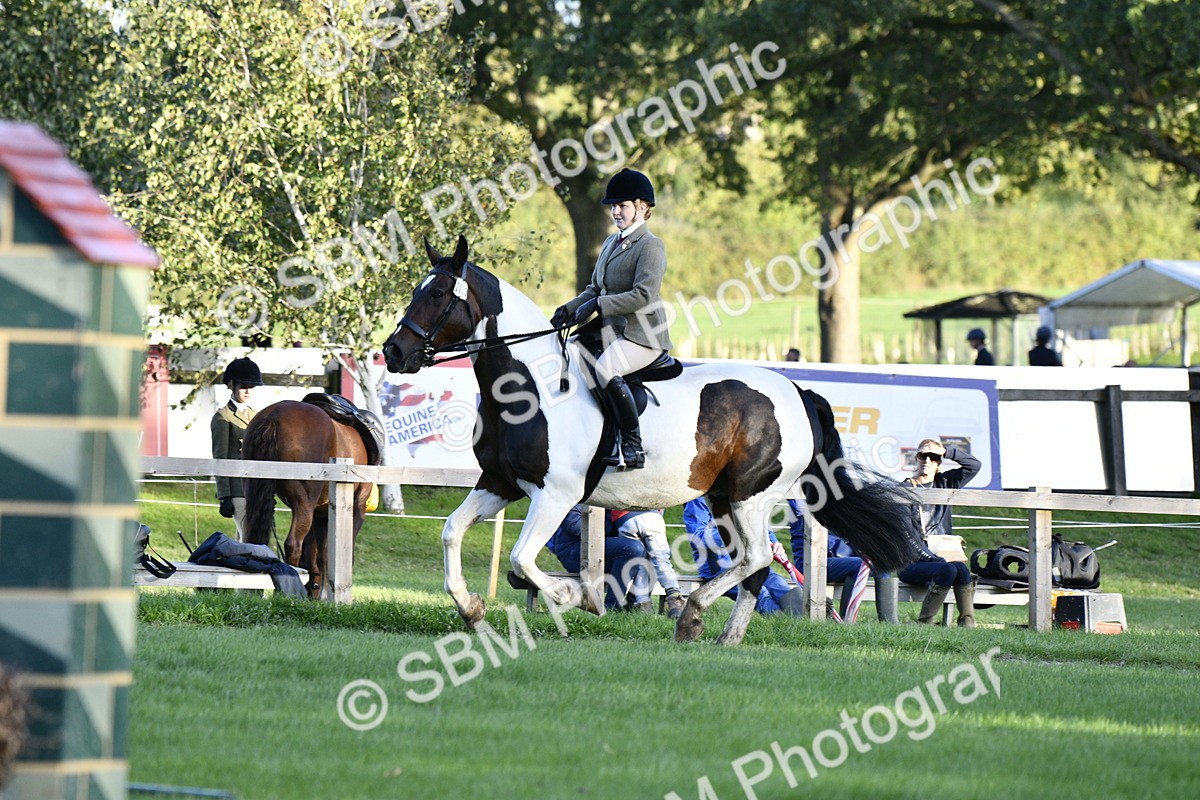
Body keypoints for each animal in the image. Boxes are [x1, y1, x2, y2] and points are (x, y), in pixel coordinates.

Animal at [241, 400, 374, 598]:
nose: (313, 591)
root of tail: (274, 415)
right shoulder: (356, 508)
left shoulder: (320, 515)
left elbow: (322, 554)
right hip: (304, 503)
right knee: (293, 544)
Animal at [381, 236, 923, 645]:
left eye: (438, 295)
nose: (393, 352)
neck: (529, 387)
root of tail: (797, 391)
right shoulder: (500, 483)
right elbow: (452, 531)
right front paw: (471, 608)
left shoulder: (556, 494)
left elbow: (521, 559)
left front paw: (579, 598)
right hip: (723, 498)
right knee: (752, 566)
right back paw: (722, 635)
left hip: (751, 496)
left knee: (755, 558)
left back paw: (693, 615)